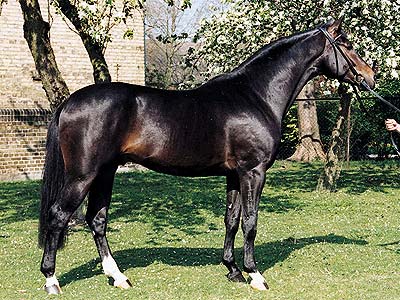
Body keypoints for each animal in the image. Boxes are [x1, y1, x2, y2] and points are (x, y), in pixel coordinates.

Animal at [39, 18, 374, 292]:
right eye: (346, 43)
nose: (371, 76)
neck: (255, 95)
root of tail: (70, 101)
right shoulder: (253, 171)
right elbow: (250, 221)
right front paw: (255, 275)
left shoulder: (234, 175)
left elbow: (232, 219)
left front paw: (233, 270)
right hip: (82, 175)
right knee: (58, 216)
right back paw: (51, 280)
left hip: (105, 173)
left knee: (97, 220)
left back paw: (118, 277)